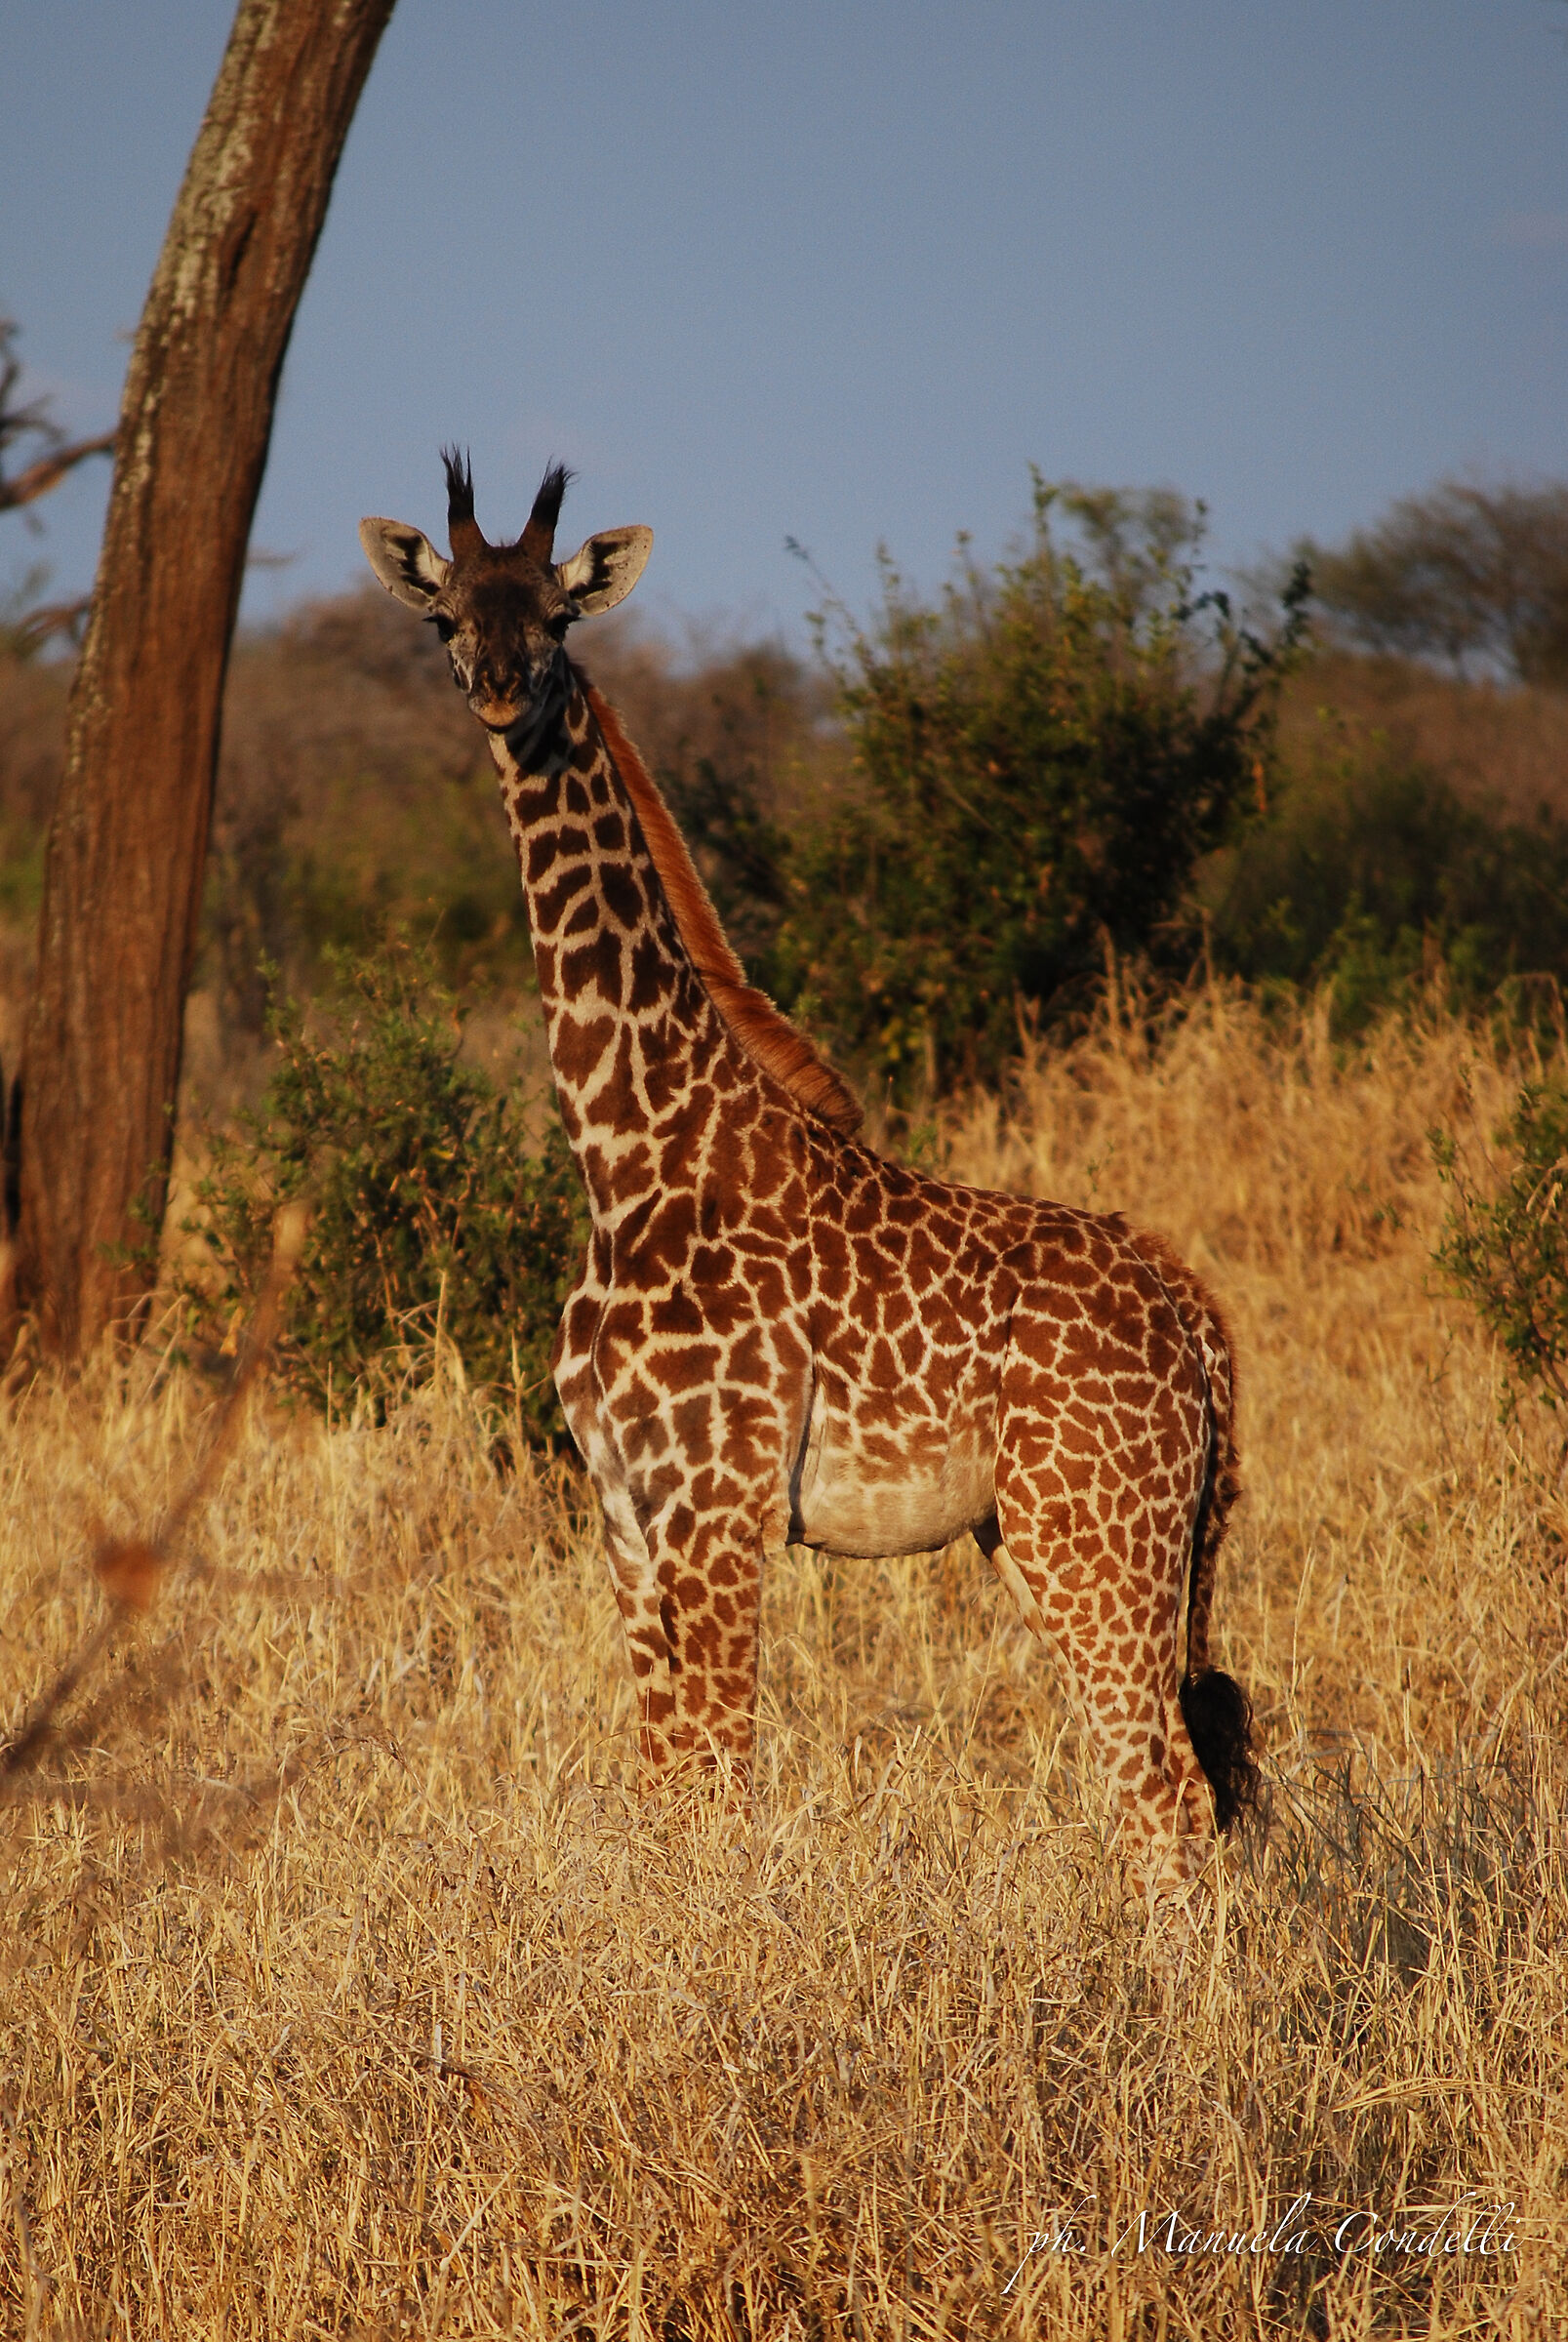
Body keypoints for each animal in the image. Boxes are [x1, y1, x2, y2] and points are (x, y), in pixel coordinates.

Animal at [359, 455, 1259, 1896]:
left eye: (555, 618)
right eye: (446, 619)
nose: (500, 696)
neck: (628, 1152)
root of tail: (1191, 1313)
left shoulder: (718, 1509)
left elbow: (720, 1787)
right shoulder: (623, 1516)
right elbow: (660, 1790)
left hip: (1091, 1530)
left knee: (1167, 1793)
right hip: (1062, 1537)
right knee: (1170, 1783)